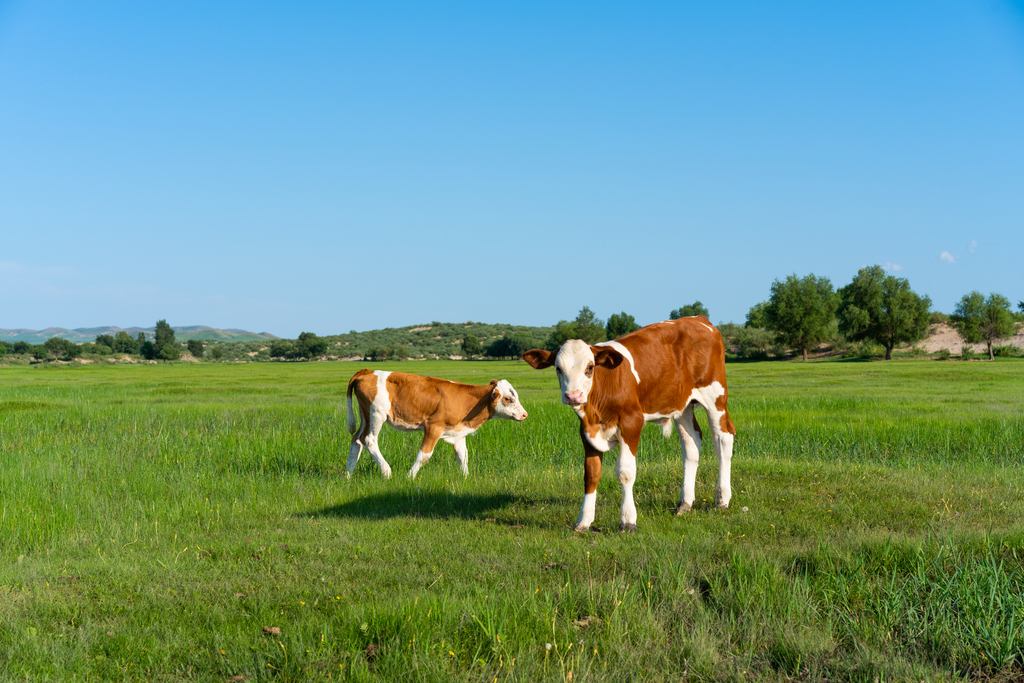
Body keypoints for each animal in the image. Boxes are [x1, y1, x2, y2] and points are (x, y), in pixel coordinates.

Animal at [348, 370, 532, 479]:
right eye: (508, 398)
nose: (525, 414)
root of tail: (367, 372)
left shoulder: (458, 432)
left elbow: (463, 456)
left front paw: (466, 478)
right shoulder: (433, 427)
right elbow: (424, 455)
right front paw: (410, 477)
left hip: (365, 416)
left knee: (357, 441)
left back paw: (347, 476)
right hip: (376, 415)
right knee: (369, 440)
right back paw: (386, 472)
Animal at [528, 317, 737, 532]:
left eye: (590, 367)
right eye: (558, 369)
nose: (573, 396)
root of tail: (698, 319)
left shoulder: (632, 423)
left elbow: (625, 472)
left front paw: (628, 520)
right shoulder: (586, 431)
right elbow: (591, 473)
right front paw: (583, 521)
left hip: (715, 397)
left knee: (723, 440)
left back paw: (722, 499)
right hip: (682, 405)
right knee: (691, 445)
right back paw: (684, 504)